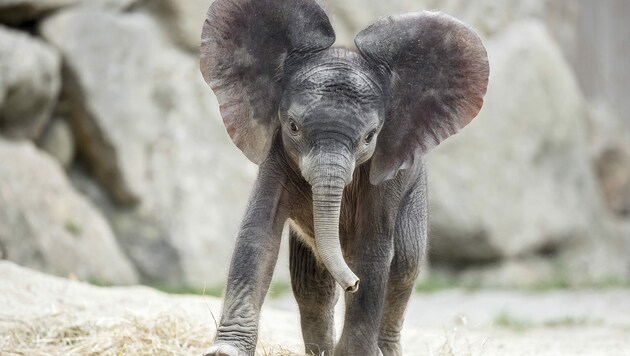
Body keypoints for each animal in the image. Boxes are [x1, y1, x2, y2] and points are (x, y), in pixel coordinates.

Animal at [200, 0, 492, 356]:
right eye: (293, 126)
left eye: (370, 136)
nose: (351, 283)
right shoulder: (277, 155)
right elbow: (258, 237)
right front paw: (225, 351)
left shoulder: (386, 179)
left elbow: (374, 252)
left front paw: (354, 351)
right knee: (311, 284)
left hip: (415, 191)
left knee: (404, 267)